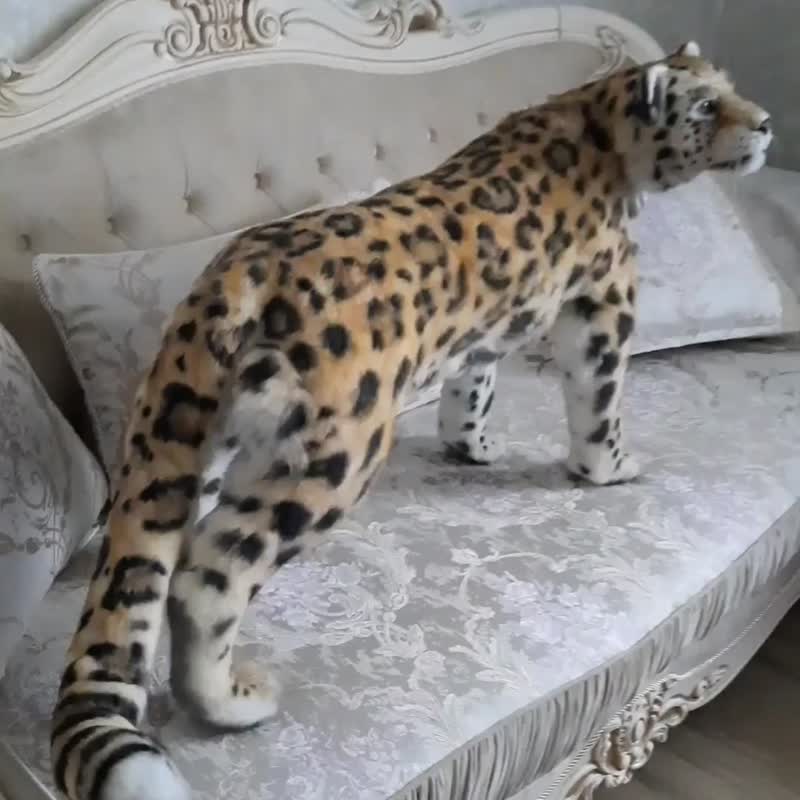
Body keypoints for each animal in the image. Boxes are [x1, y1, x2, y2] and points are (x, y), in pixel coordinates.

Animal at [50, 41, 772, 800]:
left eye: (728, 87)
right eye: (706, 106)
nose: (766, 123)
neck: (603, 133)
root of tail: (240, 278)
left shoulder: (482, 334)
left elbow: (473, 382)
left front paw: (471, 445)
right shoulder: (604, 303)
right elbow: (600, 401)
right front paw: (610, 468)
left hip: (171, 439)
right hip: (332, 461)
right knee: (208, 574)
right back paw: (232, 703)